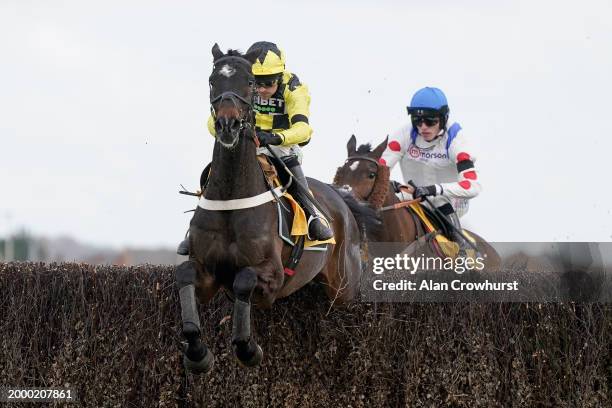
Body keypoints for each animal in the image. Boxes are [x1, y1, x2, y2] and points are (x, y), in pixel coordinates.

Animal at [175, 44, 380, 372]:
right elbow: (184, 274)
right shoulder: (207, 273)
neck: (231, 199)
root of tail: (342, 202)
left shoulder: (273, 277)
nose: (228, 125)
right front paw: (197, 353)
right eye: (212, 81)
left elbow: (244, 280)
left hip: (345, 288)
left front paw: (247, 348)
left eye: (249, 81)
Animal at [332, 135, 500, 264]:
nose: (343, 196)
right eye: (341, 171)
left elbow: (471, 182)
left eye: (371, 174)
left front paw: (425, 190)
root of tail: (493, 253)